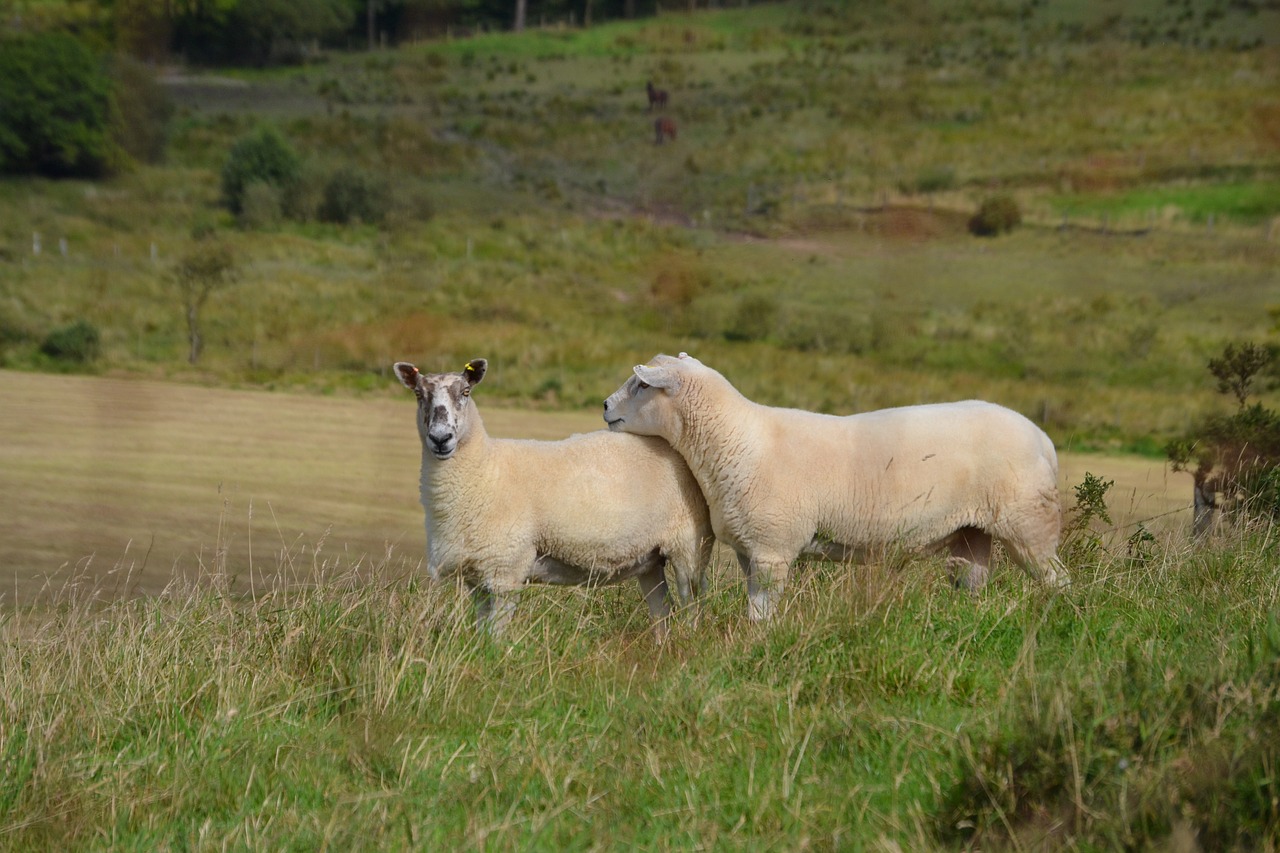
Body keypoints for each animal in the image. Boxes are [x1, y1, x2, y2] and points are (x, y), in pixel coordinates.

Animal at [394, 356, 716, 635]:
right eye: (418, 394)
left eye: (466, 391)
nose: (440, 438)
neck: (484, 470)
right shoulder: (479, 576)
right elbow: (481, 632)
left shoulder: (506, 569)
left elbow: (495, 636)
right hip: (649, 558)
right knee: (661, 610)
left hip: (689, 546)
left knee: (691, 604)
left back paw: (690, 639)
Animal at [604, 350, 1064, 617]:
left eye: (642, 384)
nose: (606, 406)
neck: (737, 440)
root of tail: (1043, 439)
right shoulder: (750, 549)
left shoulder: (773, 547)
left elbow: (761, 612)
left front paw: (756, 648)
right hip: (972, 532)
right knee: (972, 583)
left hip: (1029, 522)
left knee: (1057, 580)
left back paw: (1060, 617)